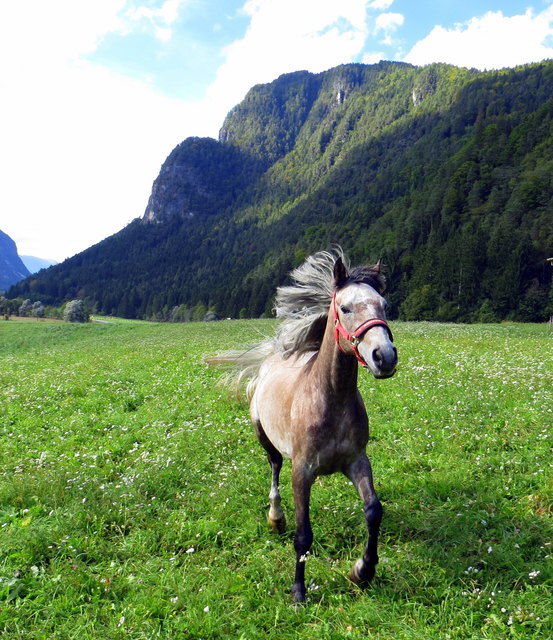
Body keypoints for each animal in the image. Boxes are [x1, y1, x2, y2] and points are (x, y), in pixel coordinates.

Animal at [211, 248, 396, 604]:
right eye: (345, 308)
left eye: (384, 305)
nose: (385, 357)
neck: (330, 401)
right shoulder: (303, 471)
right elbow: (303, 534)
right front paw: (298, 592)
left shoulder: (357, 461)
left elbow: (373, 510)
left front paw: (362, 572)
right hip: (264, 436)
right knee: (274, 466)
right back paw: (276, 518)